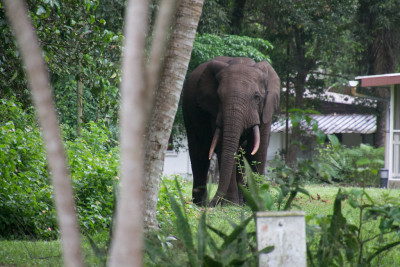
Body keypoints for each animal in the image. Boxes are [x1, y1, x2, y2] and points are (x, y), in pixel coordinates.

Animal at [183, 56, 280, 207]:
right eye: (219, 97)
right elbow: (224, 146)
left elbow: (258, 150)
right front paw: (231, 204)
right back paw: (201, 204)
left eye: (257, 97)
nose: (213, 204)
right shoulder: (214, 111)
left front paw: (256, 202)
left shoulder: (266, 110)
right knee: (199, 154)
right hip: (188, 112)